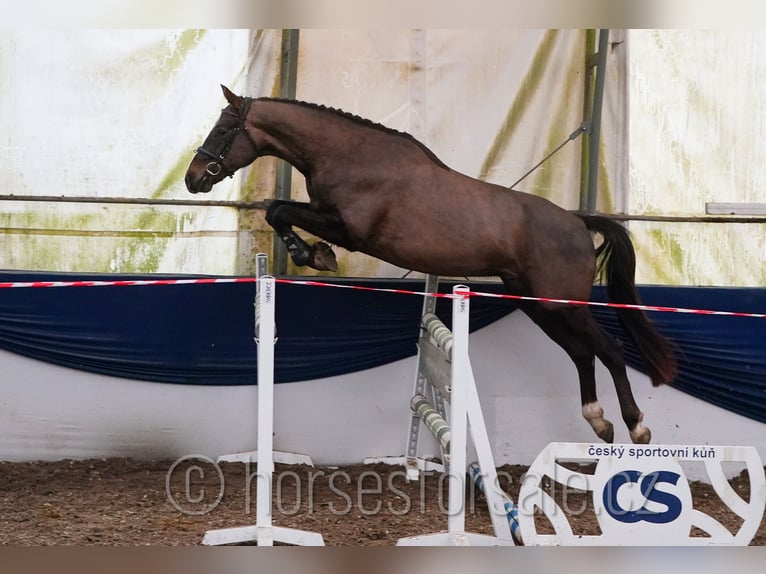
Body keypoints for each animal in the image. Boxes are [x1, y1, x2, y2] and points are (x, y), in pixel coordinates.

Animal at [185, 85, 677, 445]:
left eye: (224, 129)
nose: (192, 179)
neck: (350, 155)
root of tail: (578, 222)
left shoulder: (349, 228)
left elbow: (280, 210)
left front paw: (315, 255)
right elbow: (277, 210)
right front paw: (313, 254)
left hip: (563, 305)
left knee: (609, 352)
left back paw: (635, 425)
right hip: (539, 305)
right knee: (581, 354)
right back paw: (599, 422)